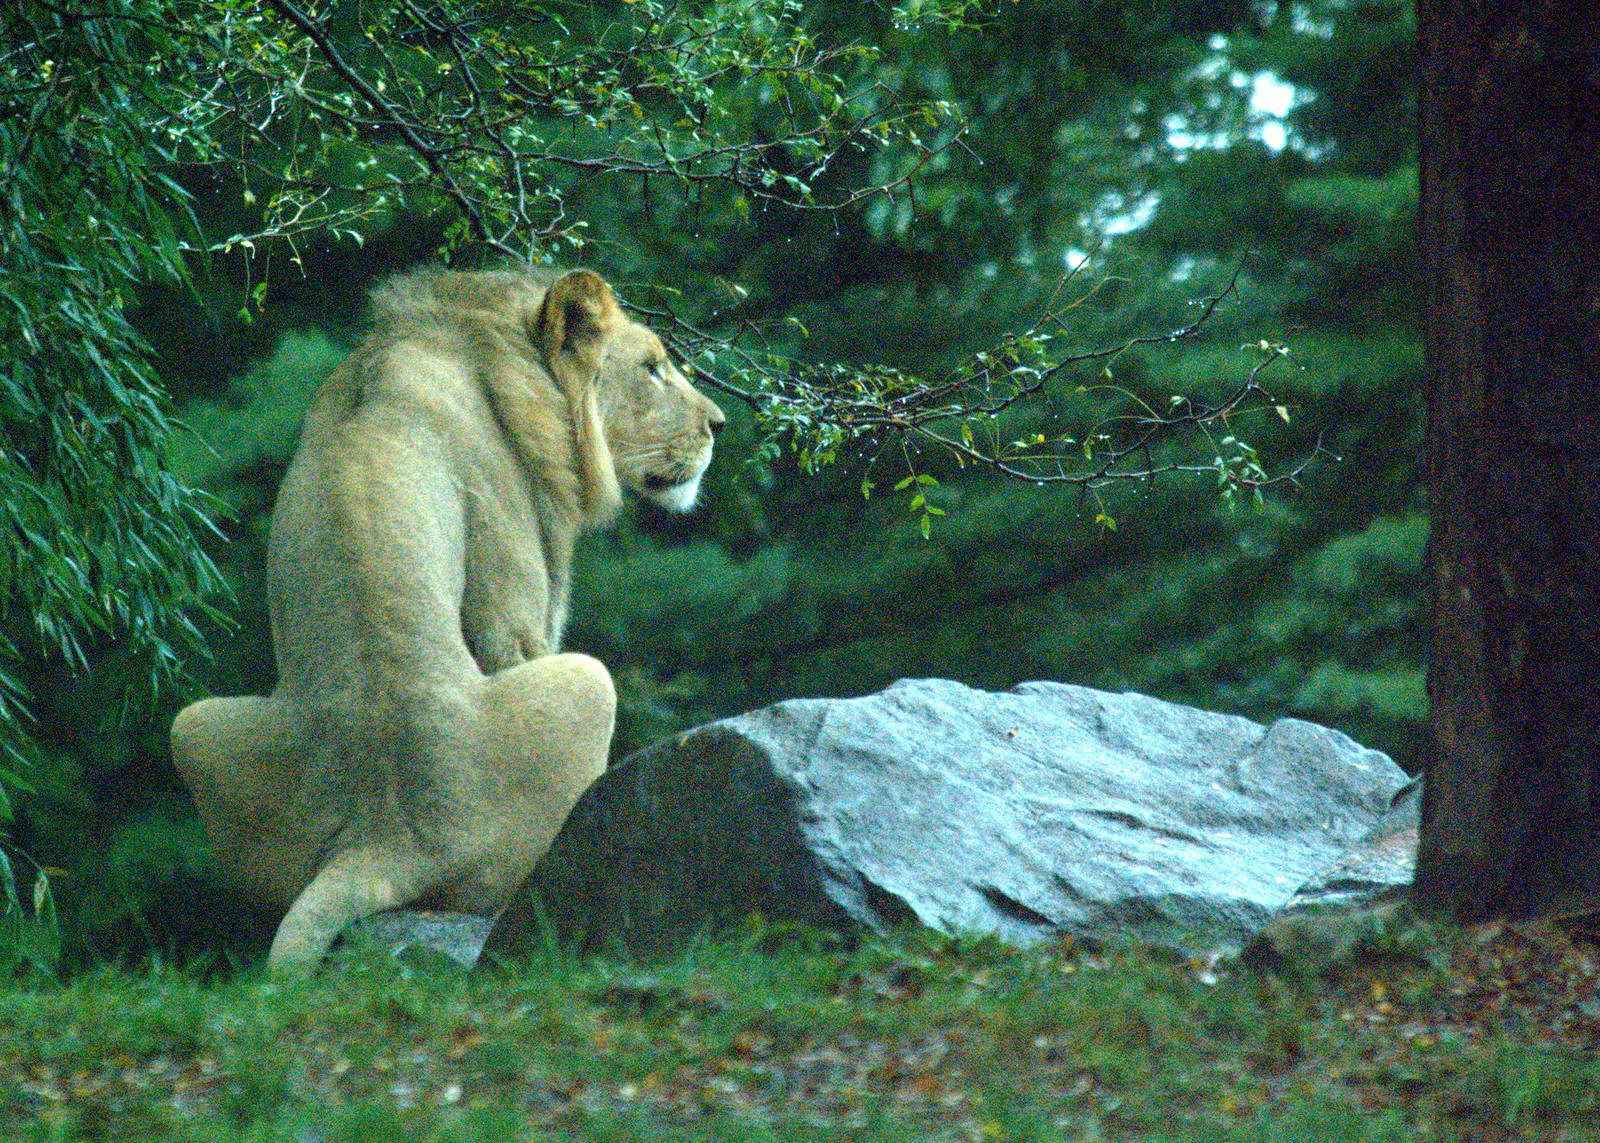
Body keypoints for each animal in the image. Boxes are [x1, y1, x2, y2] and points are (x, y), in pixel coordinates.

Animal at [170, 266, 725, 970]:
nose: (719, 424)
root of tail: (382, 844)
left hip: (191, 728)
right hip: (588, 682)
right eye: (652, 369)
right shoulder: (512, 585)